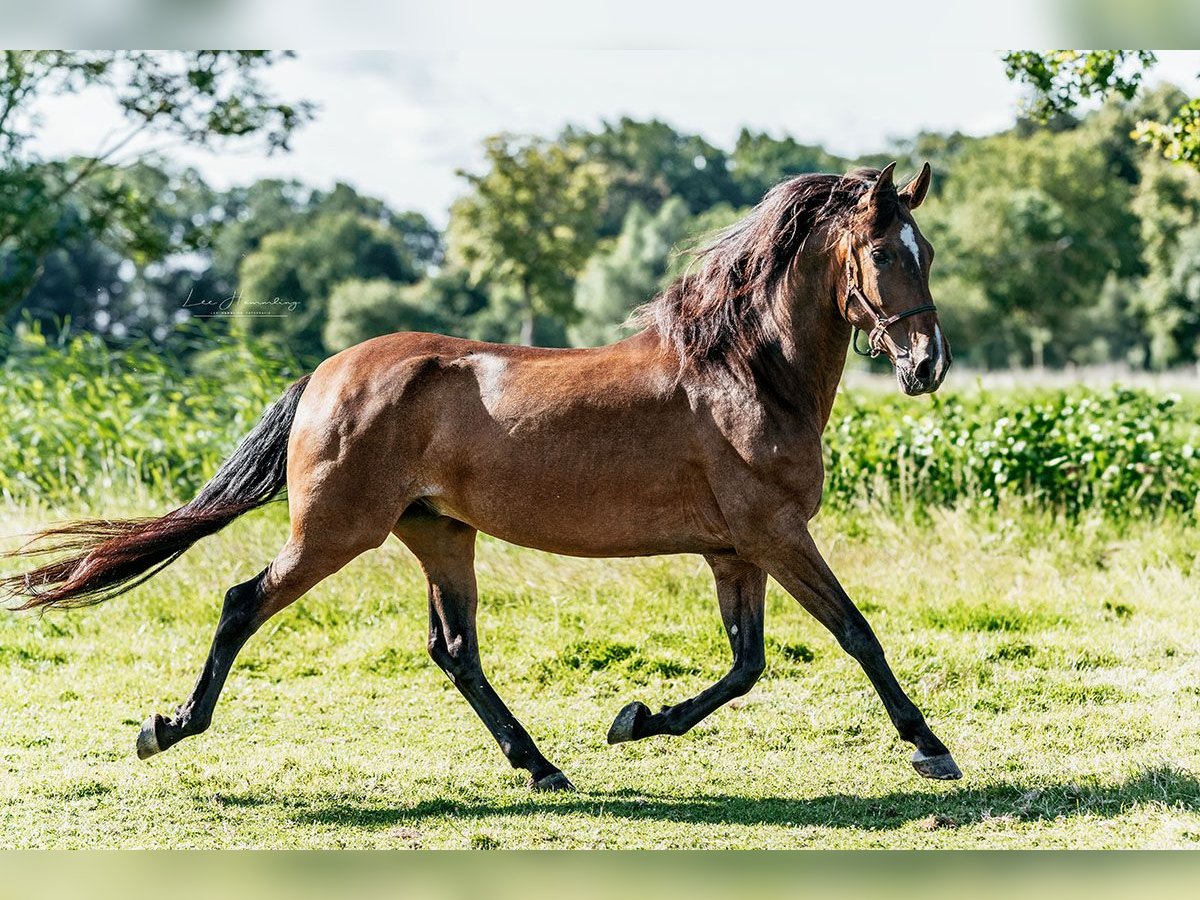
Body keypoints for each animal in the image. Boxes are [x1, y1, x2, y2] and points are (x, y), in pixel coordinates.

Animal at [2, 164, 955, 796]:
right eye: (884, 253)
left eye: (930, 250)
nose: (927, 365)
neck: (745, 374)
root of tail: (326, 374)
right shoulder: (775, 534)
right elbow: (857, 635)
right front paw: (931, 749)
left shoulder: (737, 552)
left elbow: (746, 664)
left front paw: (636, 720)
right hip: (335, 532)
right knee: (245, 602)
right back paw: (166, 729)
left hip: (439, 533)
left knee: (454, 649)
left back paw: (540, 765)